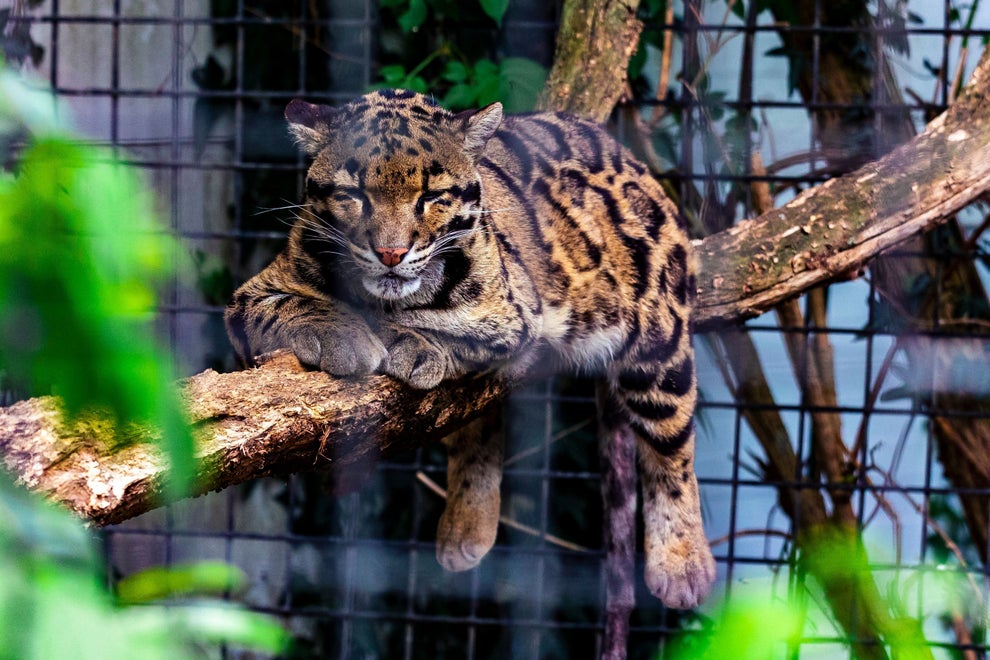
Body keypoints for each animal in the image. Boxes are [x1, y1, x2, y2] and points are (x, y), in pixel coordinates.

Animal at [227, 89, 712, 608]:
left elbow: (418, 317)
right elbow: (286, 305)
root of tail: (635, 162)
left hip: (657, 342)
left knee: (672, 449)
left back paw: (684, 561)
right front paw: (340, 331)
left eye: (431, 198)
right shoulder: (246, 298)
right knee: (474, 427)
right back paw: (467, 527)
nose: (391, 253)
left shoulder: (514, 315)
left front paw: (402, 338)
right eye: (354, 195)